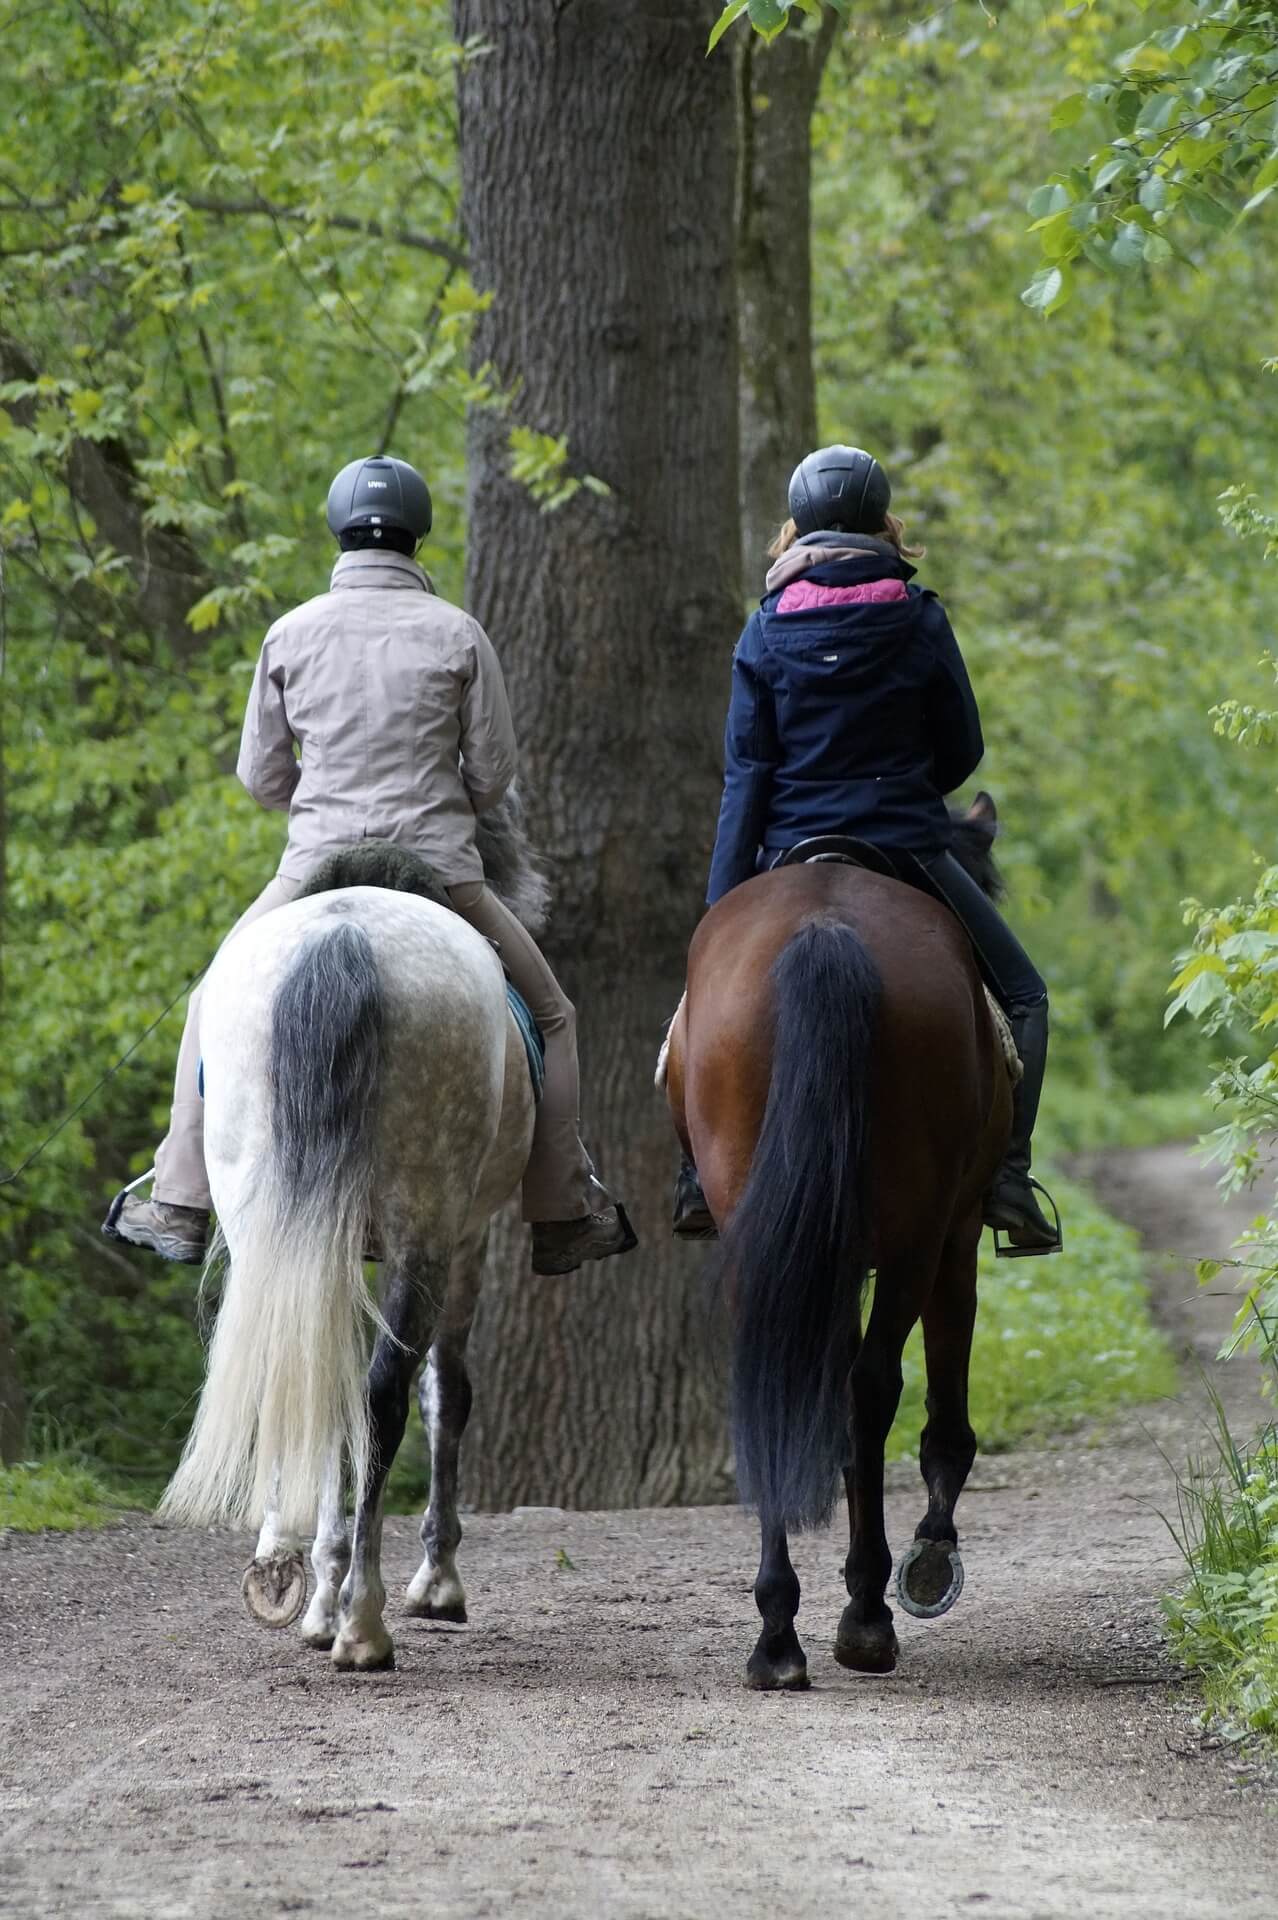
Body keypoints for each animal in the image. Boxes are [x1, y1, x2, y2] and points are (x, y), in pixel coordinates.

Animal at [159, 802, 541, 1674]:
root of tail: (345, 937)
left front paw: (313, 1594)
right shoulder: (465, 1242)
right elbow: (445, 1394)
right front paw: (432, 1582)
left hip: (276, 1223)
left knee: (316, 1375)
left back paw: (315, 1591)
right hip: (424, 1232)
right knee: (382, 1395)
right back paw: (364, 1621)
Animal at [660, 817, 1013, 1689]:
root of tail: (825, 927)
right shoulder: (954, 1237)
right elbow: (941, 1422)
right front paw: (926, 1560)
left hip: (766, 1232)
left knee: (782, 1377)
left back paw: (778, 1634)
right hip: (919, 1237)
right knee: (870, 1387)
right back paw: (865, 1616)